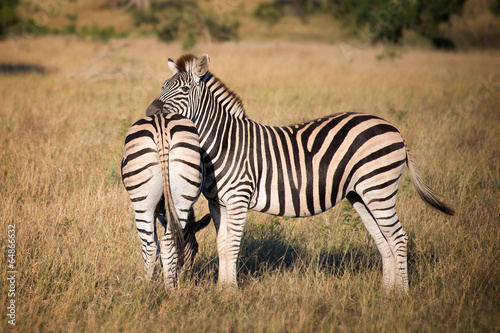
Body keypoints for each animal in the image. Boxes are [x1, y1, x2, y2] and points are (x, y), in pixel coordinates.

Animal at [121, 111, 211, 288]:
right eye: (196, 249)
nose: (185, 280)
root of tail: (161, 125)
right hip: (175, 199)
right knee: (161, 244)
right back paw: (160, 289)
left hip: (145, 201)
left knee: (155, 245)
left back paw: (157, 287)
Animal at [144, 52, 454, 294]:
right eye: (162, 86)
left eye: (183, 90)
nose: (150, 112)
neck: (223, 142)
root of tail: (394, 128)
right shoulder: (217, 202)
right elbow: (221, 246)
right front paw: (222, 289)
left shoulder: (239, 198)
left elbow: (232, 246)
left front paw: (230, 292)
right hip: (361, 194)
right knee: (384, 239)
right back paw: (386, 293)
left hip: (379, 188)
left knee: (398, 237)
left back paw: (402, 295)